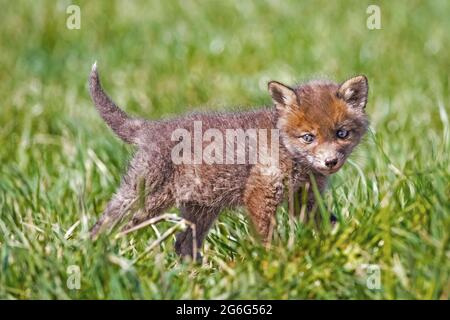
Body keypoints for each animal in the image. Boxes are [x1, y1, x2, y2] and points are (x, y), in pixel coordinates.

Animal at [89, 63, 370, 262]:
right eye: (308, 137)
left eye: (341, 133)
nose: (331, 162)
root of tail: (150, 127)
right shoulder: (259, 194)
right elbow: (267, 236)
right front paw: (275, 261)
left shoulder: (305, 198)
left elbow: (328, 223)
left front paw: (343, 243)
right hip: (145, 199)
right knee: (108, 225)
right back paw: (96, 252)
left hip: (200, 211)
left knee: (182, 245)